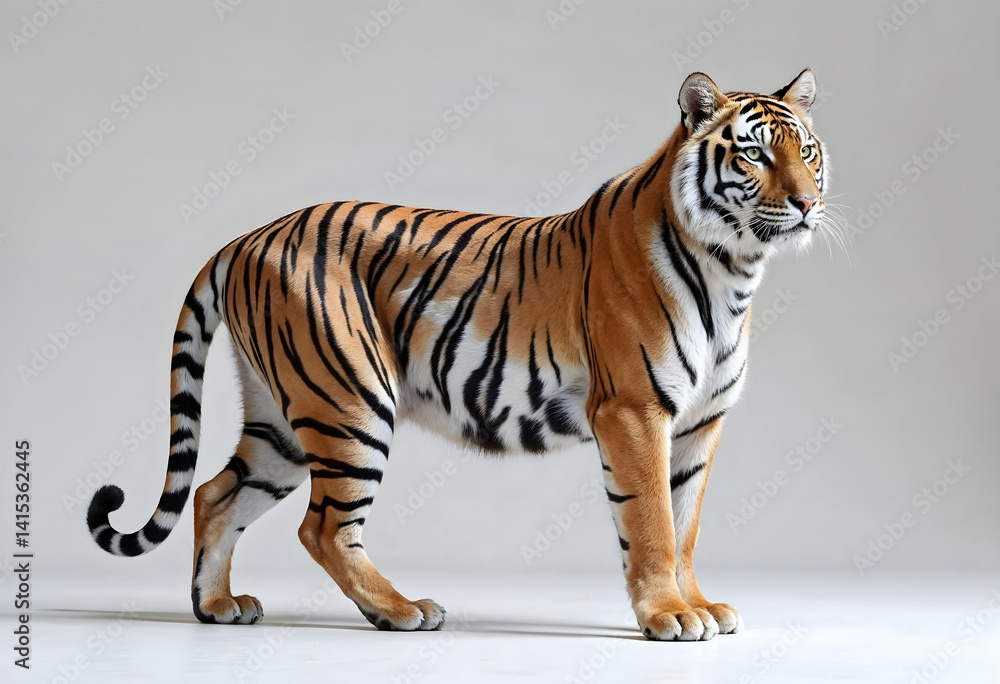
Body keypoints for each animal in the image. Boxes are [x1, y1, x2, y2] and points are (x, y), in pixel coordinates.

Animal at [87, 69, 831, 641]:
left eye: (809, 151)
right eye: (756, 156)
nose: (806, 203)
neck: (733, 270)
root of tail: (244, 239)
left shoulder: (700, 421)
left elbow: (685, 523)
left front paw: (697, 604)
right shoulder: (633, 409)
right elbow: (651, 519)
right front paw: (669, 616)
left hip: (283, 418)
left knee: (215, 494)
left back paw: (217, 606)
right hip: (350, 400)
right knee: (322, 527)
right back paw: (401, 610)